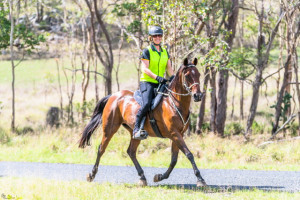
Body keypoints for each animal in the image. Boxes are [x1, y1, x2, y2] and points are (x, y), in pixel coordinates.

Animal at [78, 57, 207, 187]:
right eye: (187, 75)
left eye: (199, 74)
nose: (198, 95)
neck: (174, 103)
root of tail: (114, 95)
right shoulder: (174, 134)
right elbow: (189, 154)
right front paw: (200, 179)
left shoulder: (179, 134)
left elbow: (174, 159)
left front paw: (160, 177)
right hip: (109, 129)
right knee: (101, 149)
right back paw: (91, 175)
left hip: (134, 133)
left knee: (131, 151)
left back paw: (142, 177)